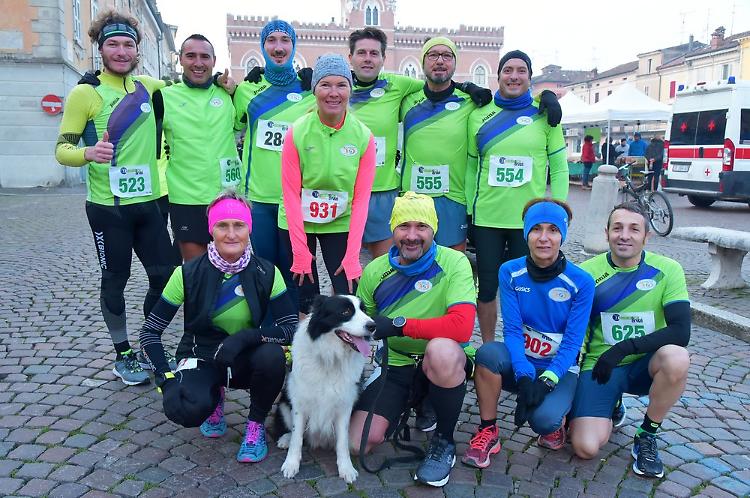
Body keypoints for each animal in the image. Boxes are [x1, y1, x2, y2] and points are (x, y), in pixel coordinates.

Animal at [279, 294, 375, 483]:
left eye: (364, 310)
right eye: (345, 312)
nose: (373, 326)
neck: (331, 358)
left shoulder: (345, 405)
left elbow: (343, 441)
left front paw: (346, 469)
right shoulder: (299, 403)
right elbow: (296, 436)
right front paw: (291, 464)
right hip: (284, 403)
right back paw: (285, 439)